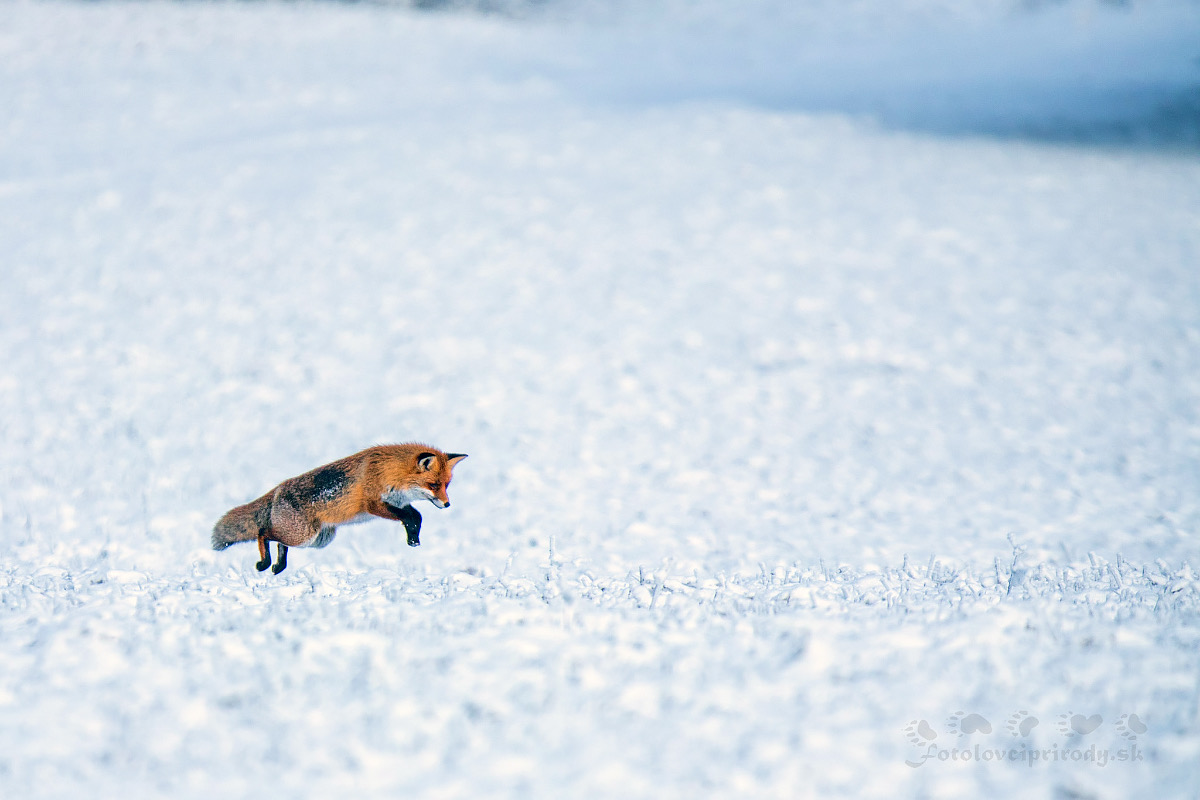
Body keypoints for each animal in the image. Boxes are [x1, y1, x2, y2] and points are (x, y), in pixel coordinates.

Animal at [211, 443, 463, 575]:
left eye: (446, 485)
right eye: (434, 485)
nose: (447, 504)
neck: (390, 471)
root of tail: (277, 490)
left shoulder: (400, 502)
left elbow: (416, 516)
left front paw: (413, 539)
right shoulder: (374, 504)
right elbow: (409, 516)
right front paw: (412, 535)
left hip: (316, 540)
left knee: (279, 542)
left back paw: (278, 566)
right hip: (304, 535)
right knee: (263, 532)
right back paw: (264, 563)